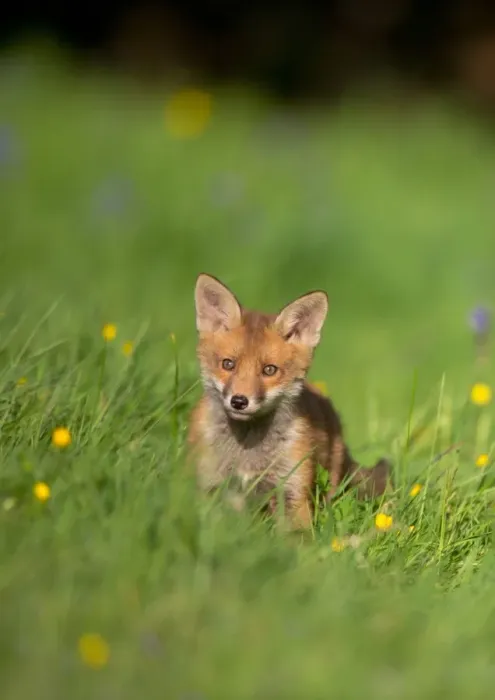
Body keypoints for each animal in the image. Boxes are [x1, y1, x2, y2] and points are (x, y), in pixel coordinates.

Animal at [187, 273, 391, 530]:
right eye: (228, 364)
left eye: (269, 370)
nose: (239, 401)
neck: (247, 453)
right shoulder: (207, 485)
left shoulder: (293, 492)